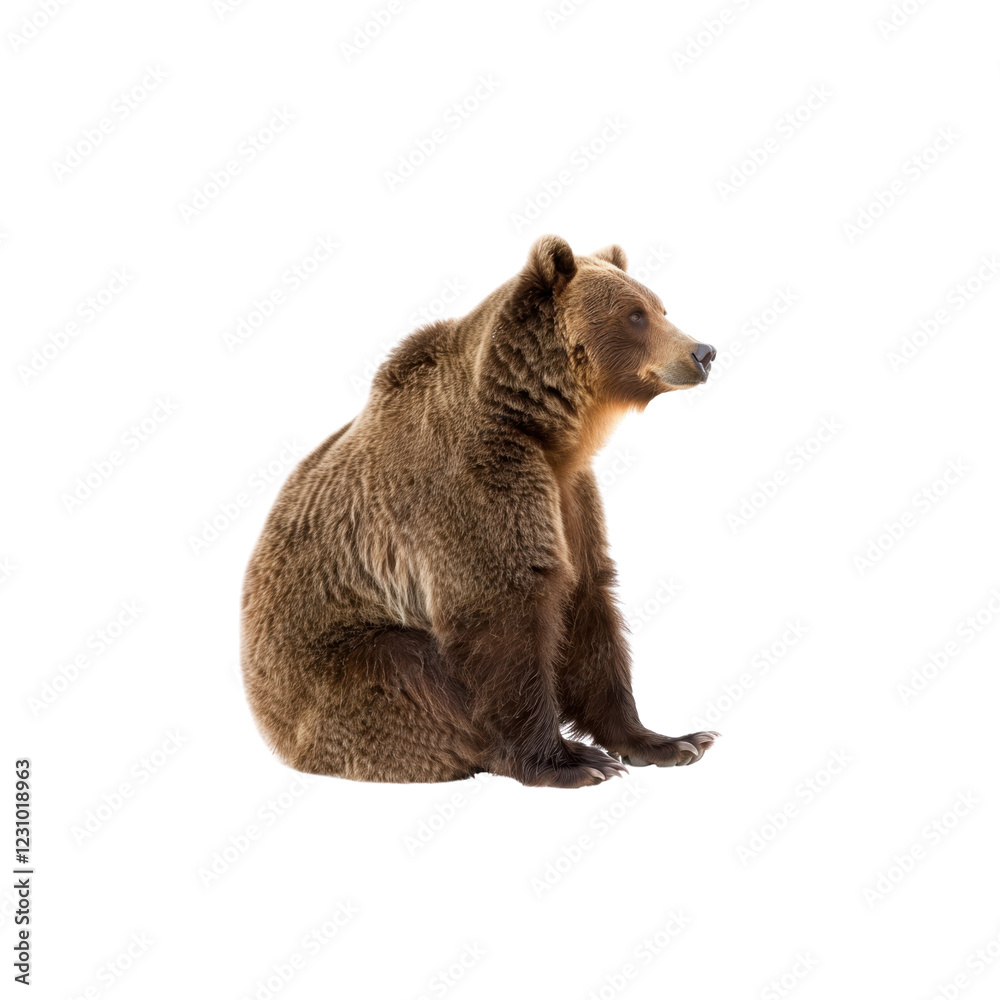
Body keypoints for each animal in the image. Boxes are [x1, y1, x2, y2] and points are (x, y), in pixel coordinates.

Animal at [241, 236, 719, 788]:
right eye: (634, 314)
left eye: (661, 307)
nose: (703, 352)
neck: (545, 428)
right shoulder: (476, 484)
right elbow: (504, 607)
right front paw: (571, 762)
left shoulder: (569, 495)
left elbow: (587, 600)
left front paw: (672, 741)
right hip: (331, 671)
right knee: (404, 669)